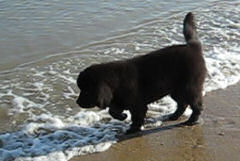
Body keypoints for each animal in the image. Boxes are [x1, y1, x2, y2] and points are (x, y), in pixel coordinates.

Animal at [76, 12, 206, 133]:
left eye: (86, 90)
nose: (77, 102)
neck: (116, 83)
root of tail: (192, 46)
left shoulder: (137, 105)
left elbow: (136, 117)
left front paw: (133, 129)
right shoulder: (119, 101)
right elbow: (112, 111)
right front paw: (123, 116)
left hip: (190, 87)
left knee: (196, 106)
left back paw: (191, 120)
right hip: (176, 89)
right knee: (182, 103)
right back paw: (174, 116)